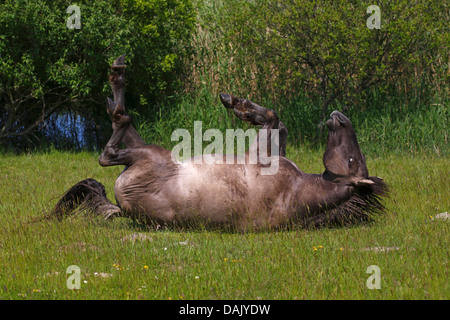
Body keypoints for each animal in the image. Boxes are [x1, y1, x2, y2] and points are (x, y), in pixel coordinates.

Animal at [50, 55, 386, 230]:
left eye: (353, 161)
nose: (340, 118)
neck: (296, 188)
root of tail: (124, 209)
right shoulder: (269, 148)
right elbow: (278, 121)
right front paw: (237, 103)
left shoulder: (260, 156)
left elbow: (274, 119)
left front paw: (239, 105)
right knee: (123, 129)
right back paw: (112, 93)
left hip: (152, 155)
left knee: (113, 142)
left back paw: (117, 82)